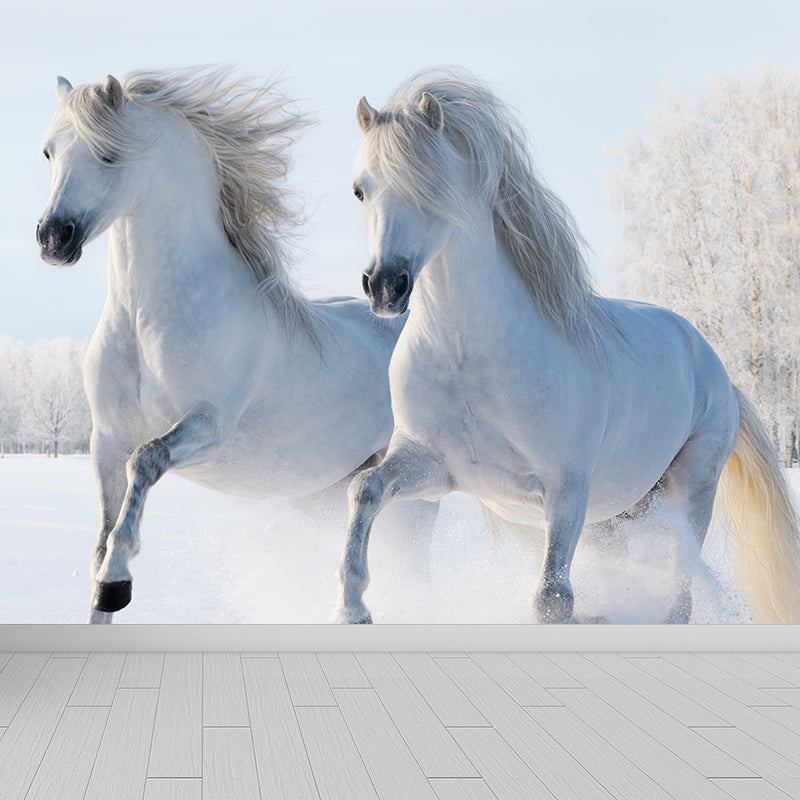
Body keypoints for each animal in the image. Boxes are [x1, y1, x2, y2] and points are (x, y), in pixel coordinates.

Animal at [37, 68, 436, 623]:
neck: (146, 322)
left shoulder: (208, 426)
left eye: (108, 154)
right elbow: (101, 535)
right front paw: (104, 594)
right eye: (49, 152)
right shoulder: (105, 440)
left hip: (418, 493)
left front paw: (118, 580)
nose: (54, 238)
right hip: (322, 494)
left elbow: (146, 461)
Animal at [336, 69, 800, 625]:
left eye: (431, 186)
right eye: (360, 190)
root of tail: (715, 366)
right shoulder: (434, 466)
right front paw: (353, 606)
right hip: (615, 518)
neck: (469, 359)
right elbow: (365, 487)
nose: (385, 286)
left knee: (681, 582)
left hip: (691, 489)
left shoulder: (566, 491)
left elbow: (552, 599)